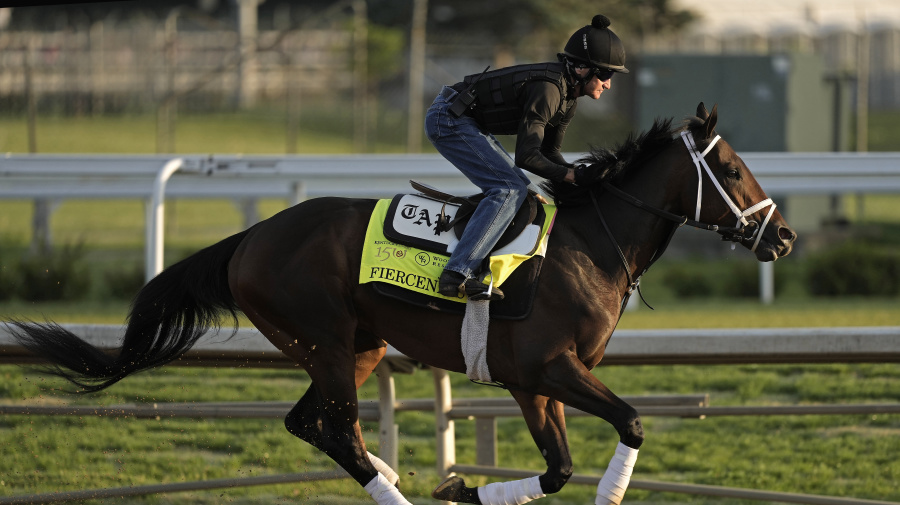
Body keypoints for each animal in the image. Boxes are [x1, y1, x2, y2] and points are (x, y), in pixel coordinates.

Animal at [8, 103, 796, 504]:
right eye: (731, 169)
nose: (783, 235)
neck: (587, 244)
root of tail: (249, 238)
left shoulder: (532, 382)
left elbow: (558, 467)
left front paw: (460, 487)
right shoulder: (551, 368)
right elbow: (627, 424)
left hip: (357, 347)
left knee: (314, 424)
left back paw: (388, 477)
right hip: (326, 341)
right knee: (338, 429)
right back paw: (391, 487)